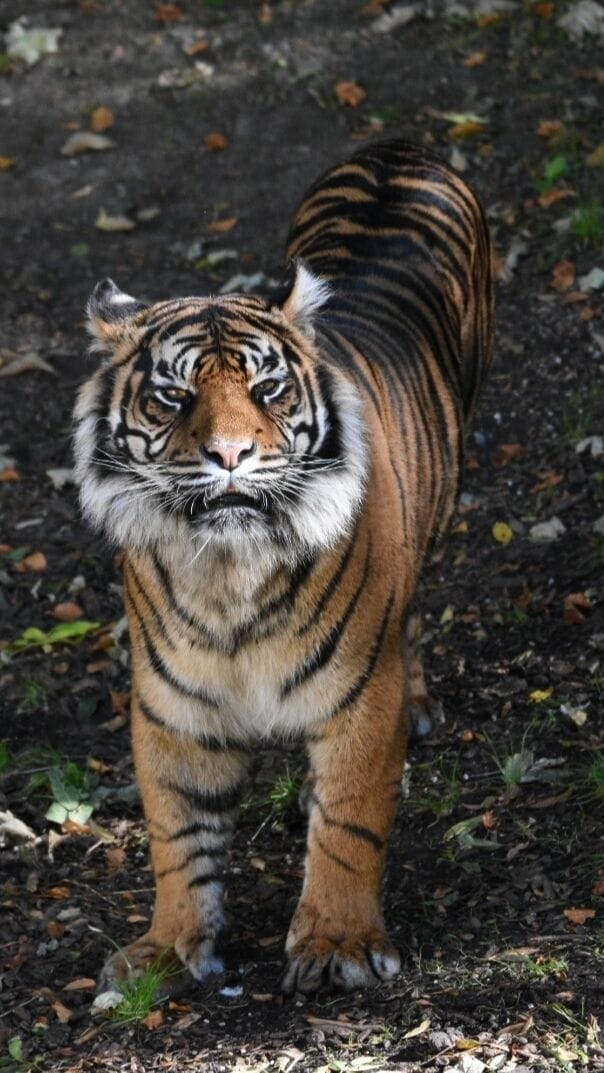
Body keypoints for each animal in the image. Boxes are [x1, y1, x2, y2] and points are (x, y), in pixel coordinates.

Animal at [74, 139, 493, 996]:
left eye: (267, 388)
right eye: (172, 396)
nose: (230, 453)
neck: (230, 572)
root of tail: (401, 145)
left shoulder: (362, 693)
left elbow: (349, 822)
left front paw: (338, 944)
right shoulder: (171, 708)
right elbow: (178, 838)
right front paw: (167, 948)